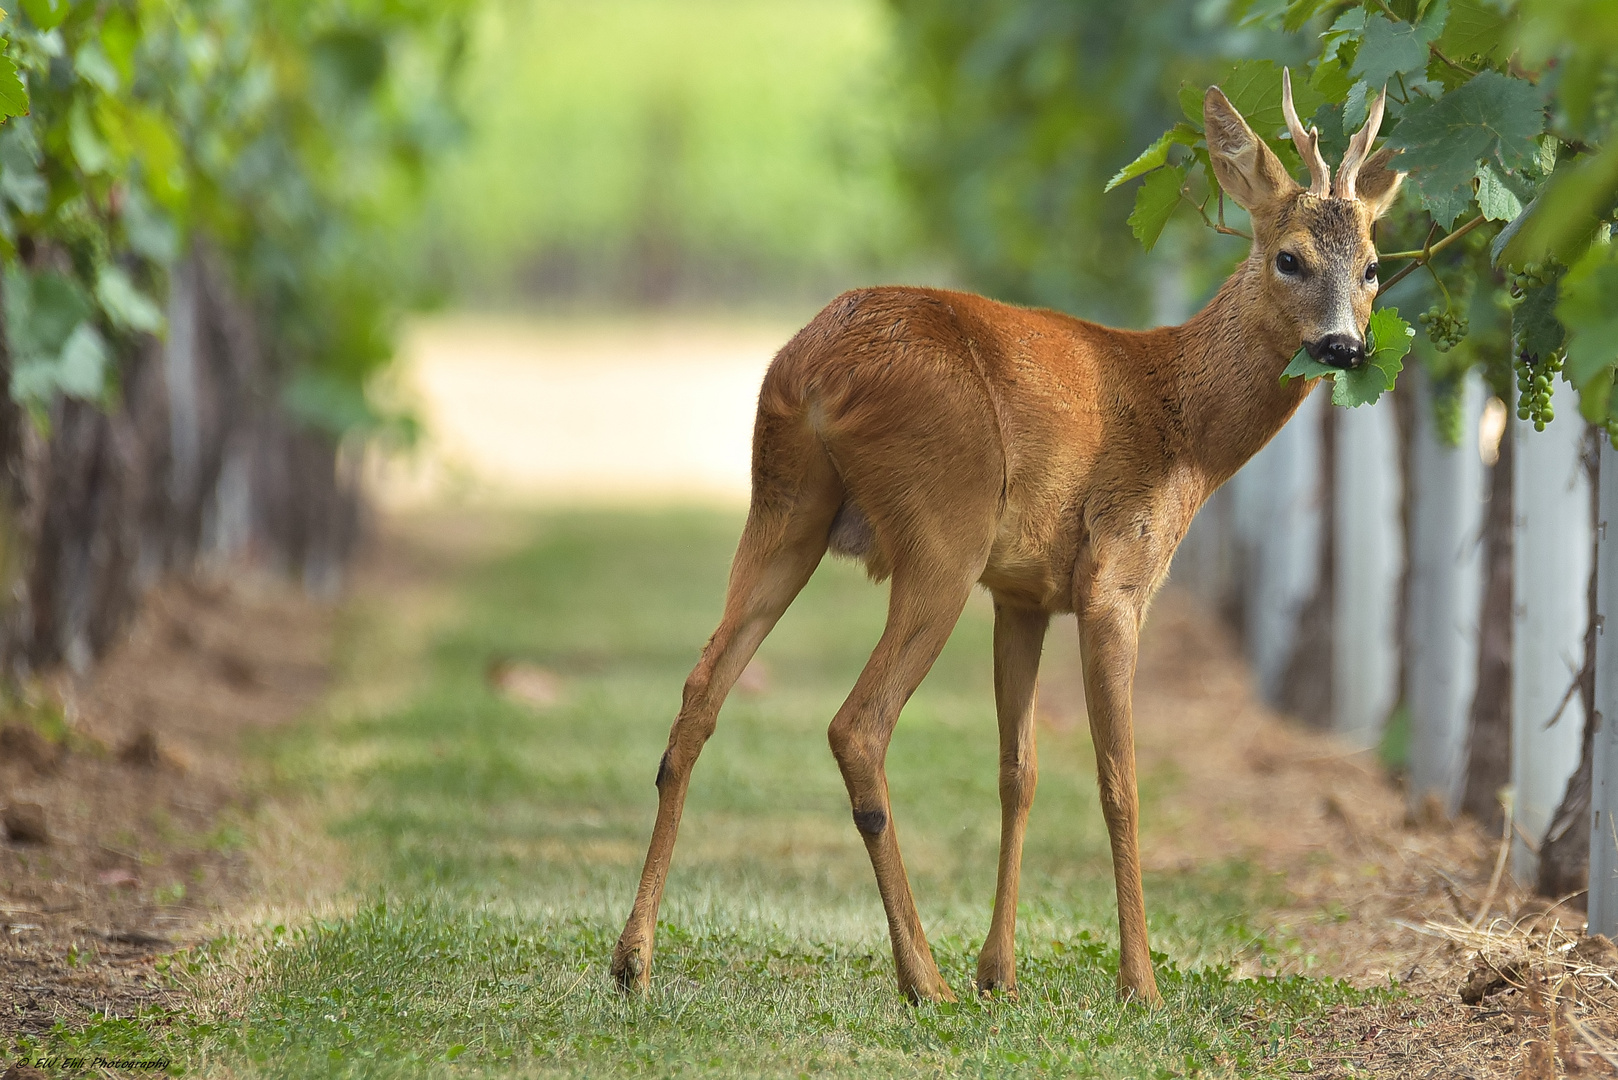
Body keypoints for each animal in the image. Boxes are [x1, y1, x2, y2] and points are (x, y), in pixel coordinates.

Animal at [611, 74, 1397, 1003]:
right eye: (1290, 258)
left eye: (1375, 266)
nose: (1344, 345)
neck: (1185, 426)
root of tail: (814, 371)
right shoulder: (1114, 576)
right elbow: (1118, 780)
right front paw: (1138, 984)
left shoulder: (1021, 594)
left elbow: (1017, 773)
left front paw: (1001, 972)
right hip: (940, 525)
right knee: (857, 725)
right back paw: (922, 979)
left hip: (783, 505)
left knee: (701, 691)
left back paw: (633, 960)